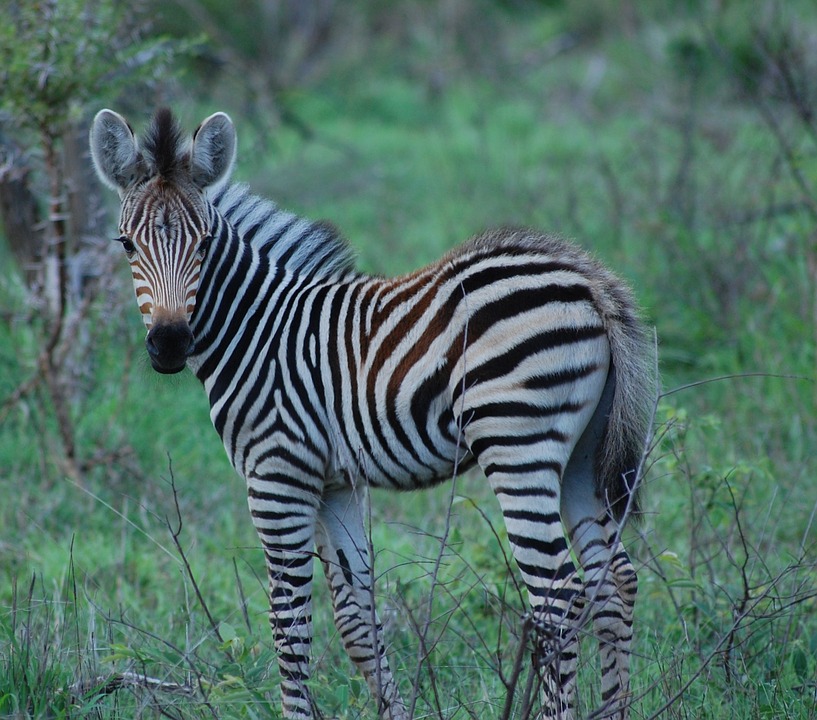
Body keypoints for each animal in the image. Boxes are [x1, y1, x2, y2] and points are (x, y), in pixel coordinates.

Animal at [90, 107, 656, 720]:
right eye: (126, 245)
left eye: (204, 244)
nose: (169, 345)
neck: (258, 330)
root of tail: (587, 278)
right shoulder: (336, 483)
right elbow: (356, 619)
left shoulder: (278, 475)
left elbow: (289, 621)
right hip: (582, 453)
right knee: (614, 581)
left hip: (517, 445)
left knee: (559, 595)